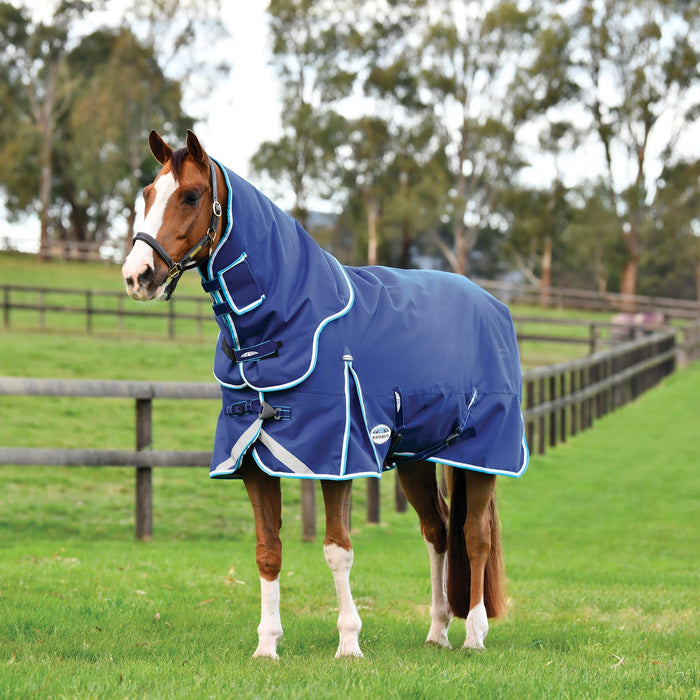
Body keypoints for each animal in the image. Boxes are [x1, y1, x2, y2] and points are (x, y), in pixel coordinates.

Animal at [122, 130, 528, 659]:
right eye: (148, 193)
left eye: (191, 196)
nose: (137, 276)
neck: (288, 325)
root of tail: (492, 303)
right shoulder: (252, 459)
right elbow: (267, 550)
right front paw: (267, 646)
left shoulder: (338, 457)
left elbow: (338, 550)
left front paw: (349, 644)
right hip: (416, 458)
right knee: (438, 533)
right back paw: (437, 630)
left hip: (481, 456)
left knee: (473, 536)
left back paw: (474, 634)